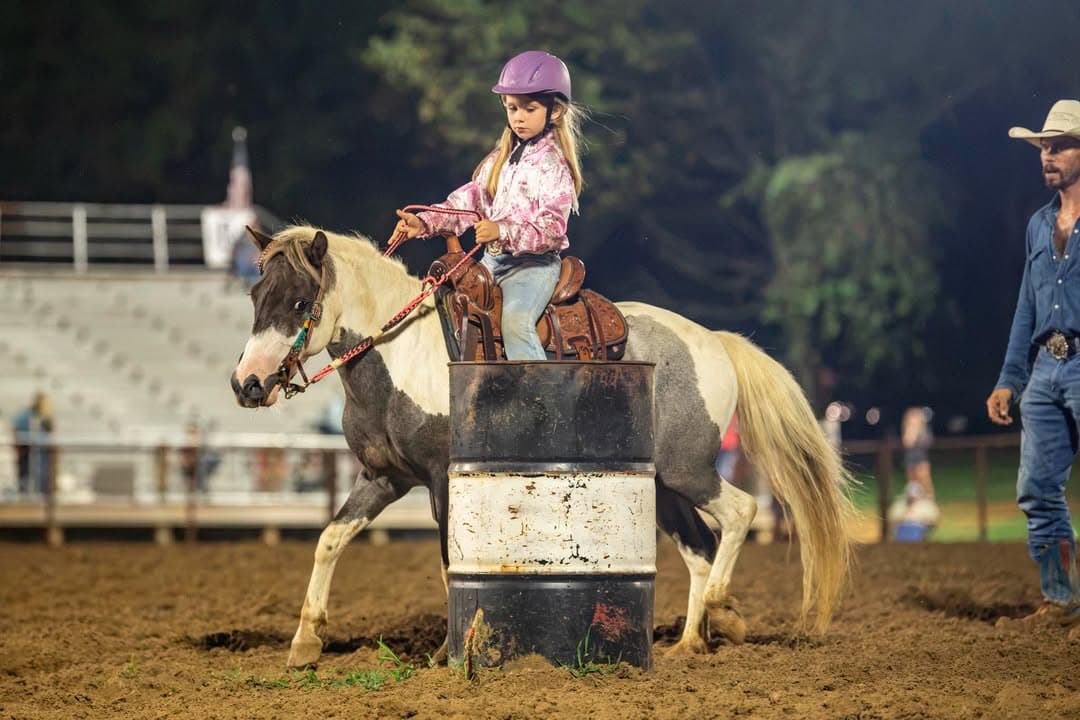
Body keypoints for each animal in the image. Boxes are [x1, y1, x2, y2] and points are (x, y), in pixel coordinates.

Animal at [230, 224, 854, 668]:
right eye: (256, 295)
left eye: (299, 302)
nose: (248, 384)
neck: (401, 355)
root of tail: (715, 341)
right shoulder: (381, 478)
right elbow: (330, 539)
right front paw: (305, 641)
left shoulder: (441, 479)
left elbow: (449, 562)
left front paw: (447, 653)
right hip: (660, 484)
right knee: (700, 548)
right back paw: (689, 644)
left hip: (688, 468)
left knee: (740, 510)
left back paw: (724, 614)